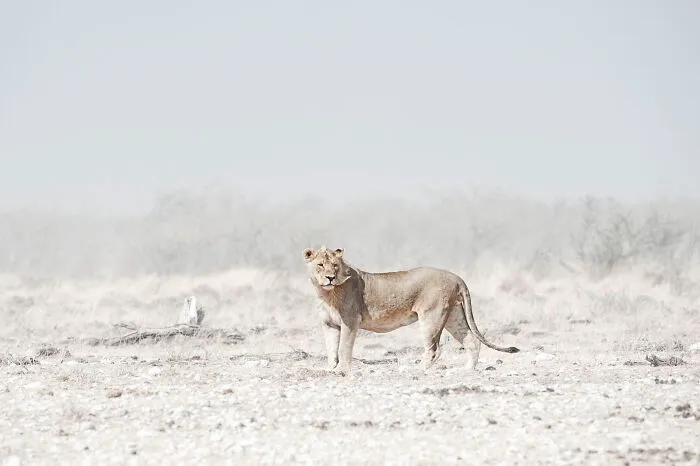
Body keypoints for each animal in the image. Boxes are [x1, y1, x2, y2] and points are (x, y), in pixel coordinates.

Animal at [303, 246, 519, 375]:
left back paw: (418, 370)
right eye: (320, 265)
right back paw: (466, 370)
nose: (330, 277)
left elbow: (343, 348)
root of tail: (457, 277)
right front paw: (331, 368)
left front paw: (342, 370)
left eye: (335, 265)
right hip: (454, 316)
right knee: (472, 341)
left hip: (432, 316)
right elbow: (331, 349)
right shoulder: (329, 324)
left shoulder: (350, 321)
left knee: (434, 349)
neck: (326, 293)